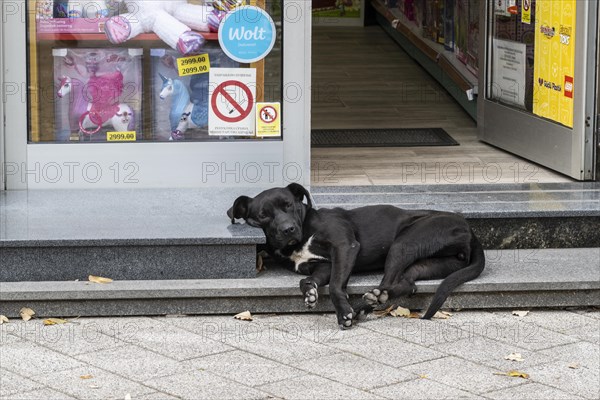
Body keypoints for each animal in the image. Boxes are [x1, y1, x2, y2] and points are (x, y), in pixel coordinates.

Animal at [227, 184, 486, 328]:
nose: (288, 229)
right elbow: (309, 280)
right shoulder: (322, 265)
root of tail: (470, 231)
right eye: (263, 215)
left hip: (404, 243)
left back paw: (367, 303)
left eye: (289, 205)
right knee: (406, 283)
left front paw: (343, 313)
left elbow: (334, 287)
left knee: (388, 280)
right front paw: (310, 292)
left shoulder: (345, 246)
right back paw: (371, 302)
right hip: (429, 264)